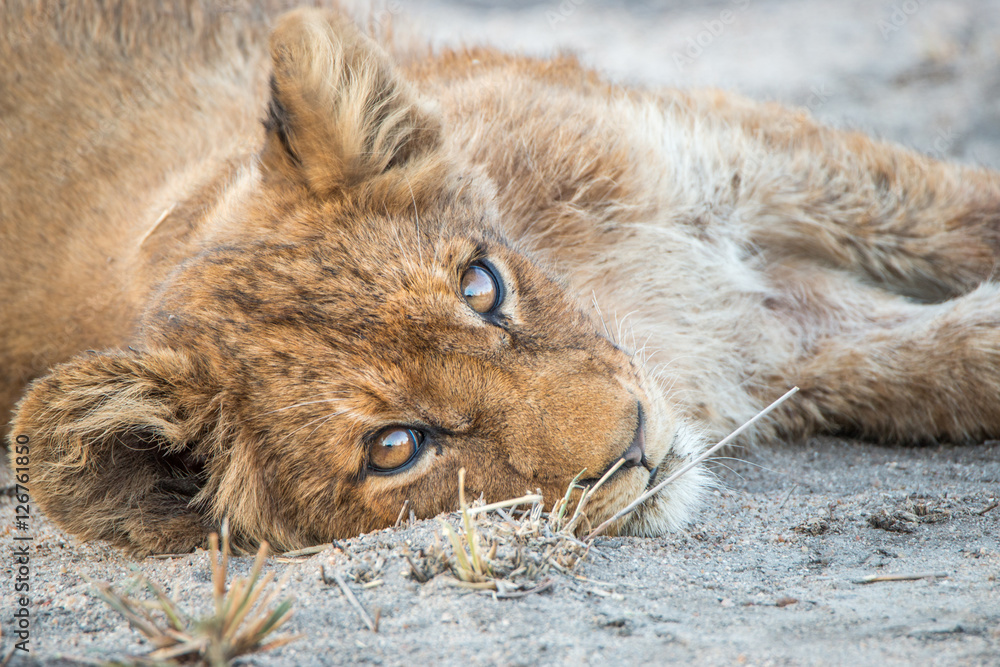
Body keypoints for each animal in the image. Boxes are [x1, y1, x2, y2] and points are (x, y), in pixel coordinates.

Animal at [3, 1, 999, 555]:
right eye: (396, 447)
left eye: (481, 286)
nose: (635, 442)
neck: (616, 294)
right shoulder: (783, 339)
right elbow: (951, 361)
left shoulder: (732, 157)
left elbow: (951, 208)